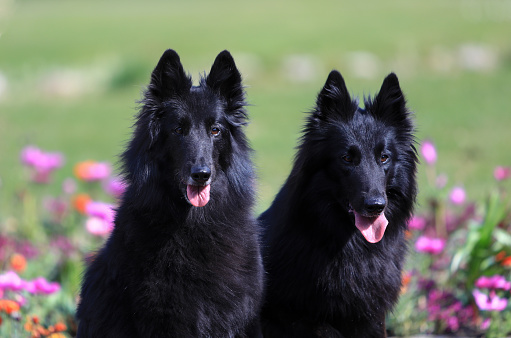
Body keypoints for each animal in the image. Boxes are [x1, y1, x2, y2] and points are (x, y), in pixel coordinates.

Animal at [258, 71, 418, 338]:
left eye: (384, 157)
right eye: (346, 158)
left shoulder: (372, 318)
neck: (351, 248)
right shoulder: (282, 315)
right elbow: (324, 329)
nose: (376, 205)